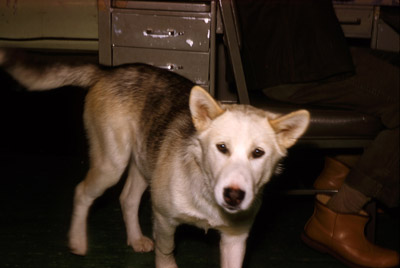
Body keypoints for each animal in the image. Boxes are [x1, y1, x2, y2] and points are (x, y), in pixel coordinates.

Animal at [0, 48, 310, 268]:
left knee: (127, 199)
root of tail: (108, 71)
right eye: (221, 147)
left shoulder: (235, 241)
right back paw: (77, 241)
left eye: (258, 153)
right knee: (82, 192)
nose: (233, 195)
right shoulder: (164, 221)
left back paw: (135, 238)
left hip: (144, 162)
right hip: (112, 163)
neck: (205, 194)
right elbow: (166, 254)